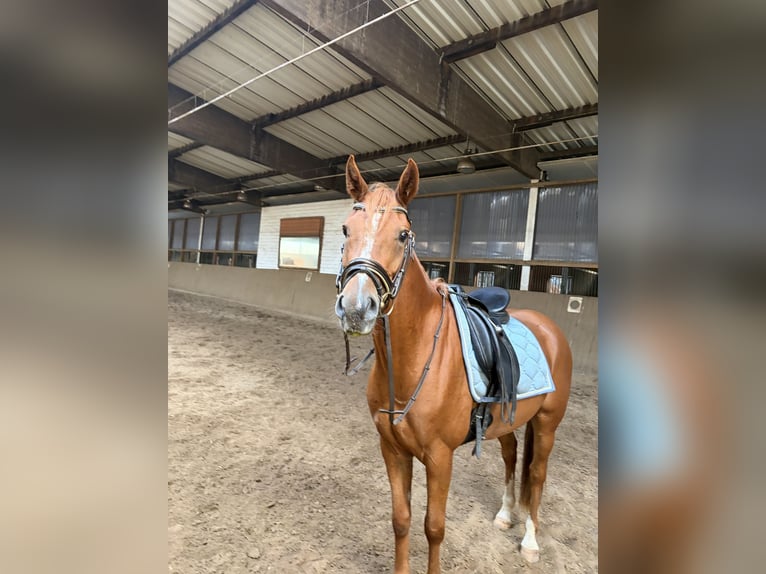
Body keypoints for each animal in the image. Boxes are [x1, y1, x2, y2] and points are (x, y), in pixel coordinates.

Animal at [334, 155, 572, 574]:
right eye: (347, 229)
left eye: (403, 235)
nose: (357, 308)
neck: (411, 361)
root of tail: (550, 328)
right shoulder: (392, 449)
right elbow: (401, 520)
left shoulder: (439, 458)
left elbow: (434, 527)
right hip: (506, 418)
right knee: (511, 455)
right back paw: (506, 515)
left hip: (546, 424)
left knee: (537, 474)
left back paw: (529, 540)